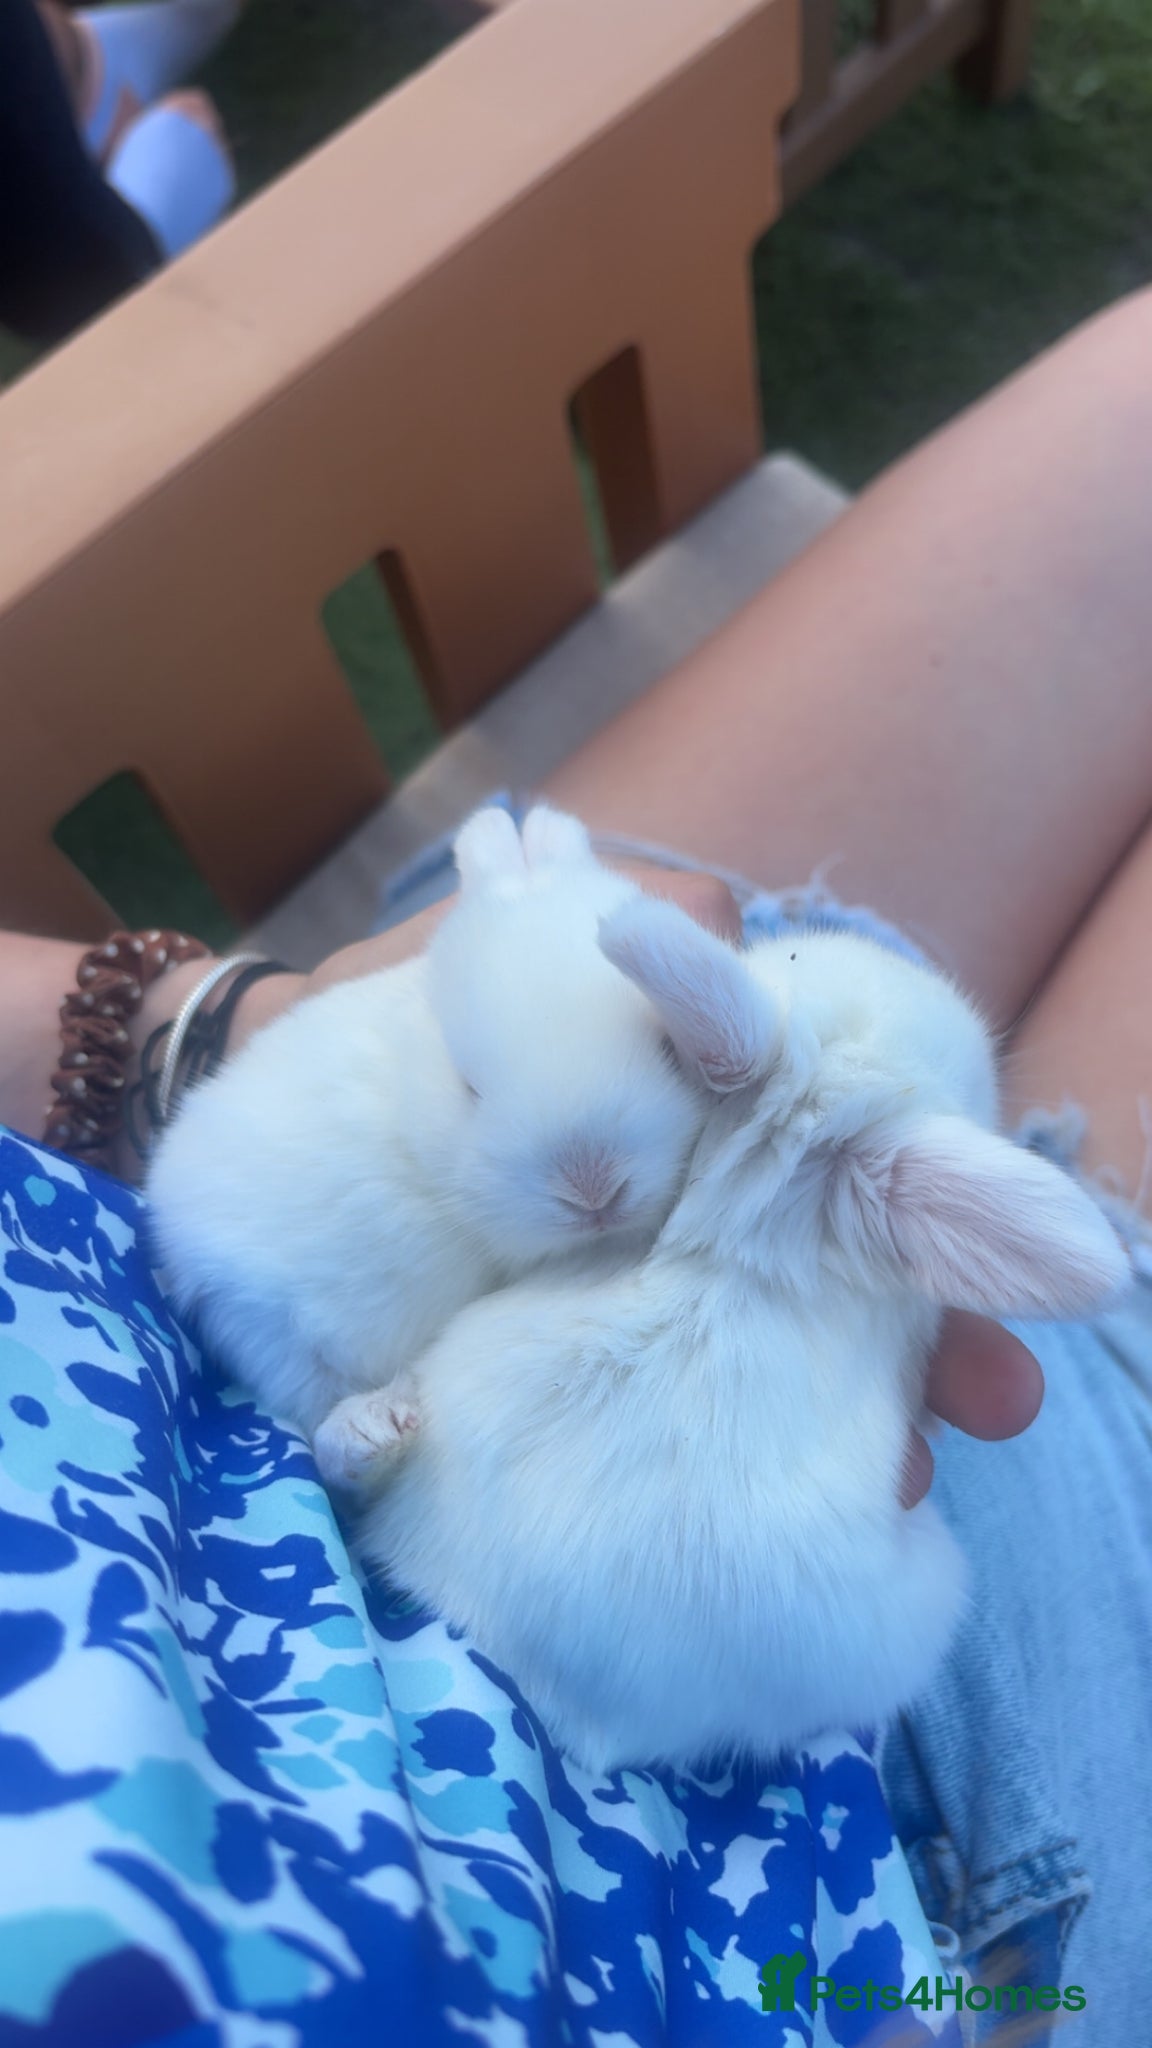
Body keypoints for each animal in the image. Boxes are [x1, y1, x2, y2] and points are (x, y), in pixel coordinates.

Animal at [146, 805, 708, 1469]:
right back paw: (372, 1426)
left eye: (668, 1045)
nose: (592, 1190)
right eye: (469, 1087)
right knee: (316, 1426)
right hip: (263, 1331)